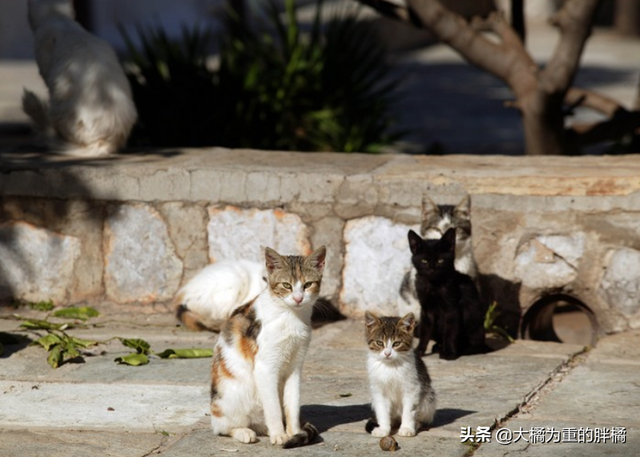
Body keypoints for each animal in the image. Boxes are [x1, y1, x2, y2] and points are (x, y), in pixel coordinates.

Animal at [209, 244, 322, 448]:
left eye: (308, 284)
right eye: (286, 285)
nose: (298, 298)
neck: (290, 316)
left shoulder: (295, 366)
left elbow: (292, 404)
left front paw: (294, 432)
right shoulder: (265, 367)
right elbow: (274, 407)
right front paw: (279, 435)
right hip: (229, 398)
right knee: (223, 428)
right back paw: (244, 432)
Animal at [408, 226, 488, 358]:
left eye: (440, 260)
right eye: (424, 261)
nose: (432, 269)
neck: (433, 285)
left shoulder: (452, 308)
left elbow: (450, 331)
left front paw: (449, 353)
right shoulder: (426, 310)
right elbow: (424, 331)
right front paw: (419, 351)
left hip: (473, 320)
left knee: (477, 346)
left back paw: (461, 349)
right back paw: (438, 347)